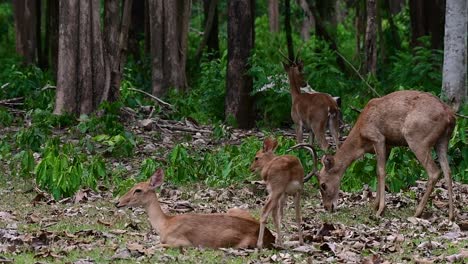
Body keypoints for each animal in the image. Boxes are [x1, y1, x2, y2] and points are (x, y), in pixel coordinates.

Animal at [116, 168, 276, 249]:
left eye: (138, 190)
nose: (117, 202)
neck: (164, 224)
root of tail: (271, 237)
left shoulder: (182, 241)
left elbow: (156, 245)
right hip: (235, 209)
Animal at [298, 91, 456, 221]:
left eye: (323, 185)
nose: (327, 207)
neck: (361, 138)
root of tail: (450, 116)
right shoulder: (388, 145)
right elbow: (377, 171)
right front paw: (374, 205)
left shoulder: (378, 138)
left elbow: (381, 171)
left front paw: (380, 210)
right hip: (443, 141)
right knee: (448, 171)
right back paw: (451, 215)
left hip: (417, 138)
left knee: (434, 171)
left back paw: (417, 212)